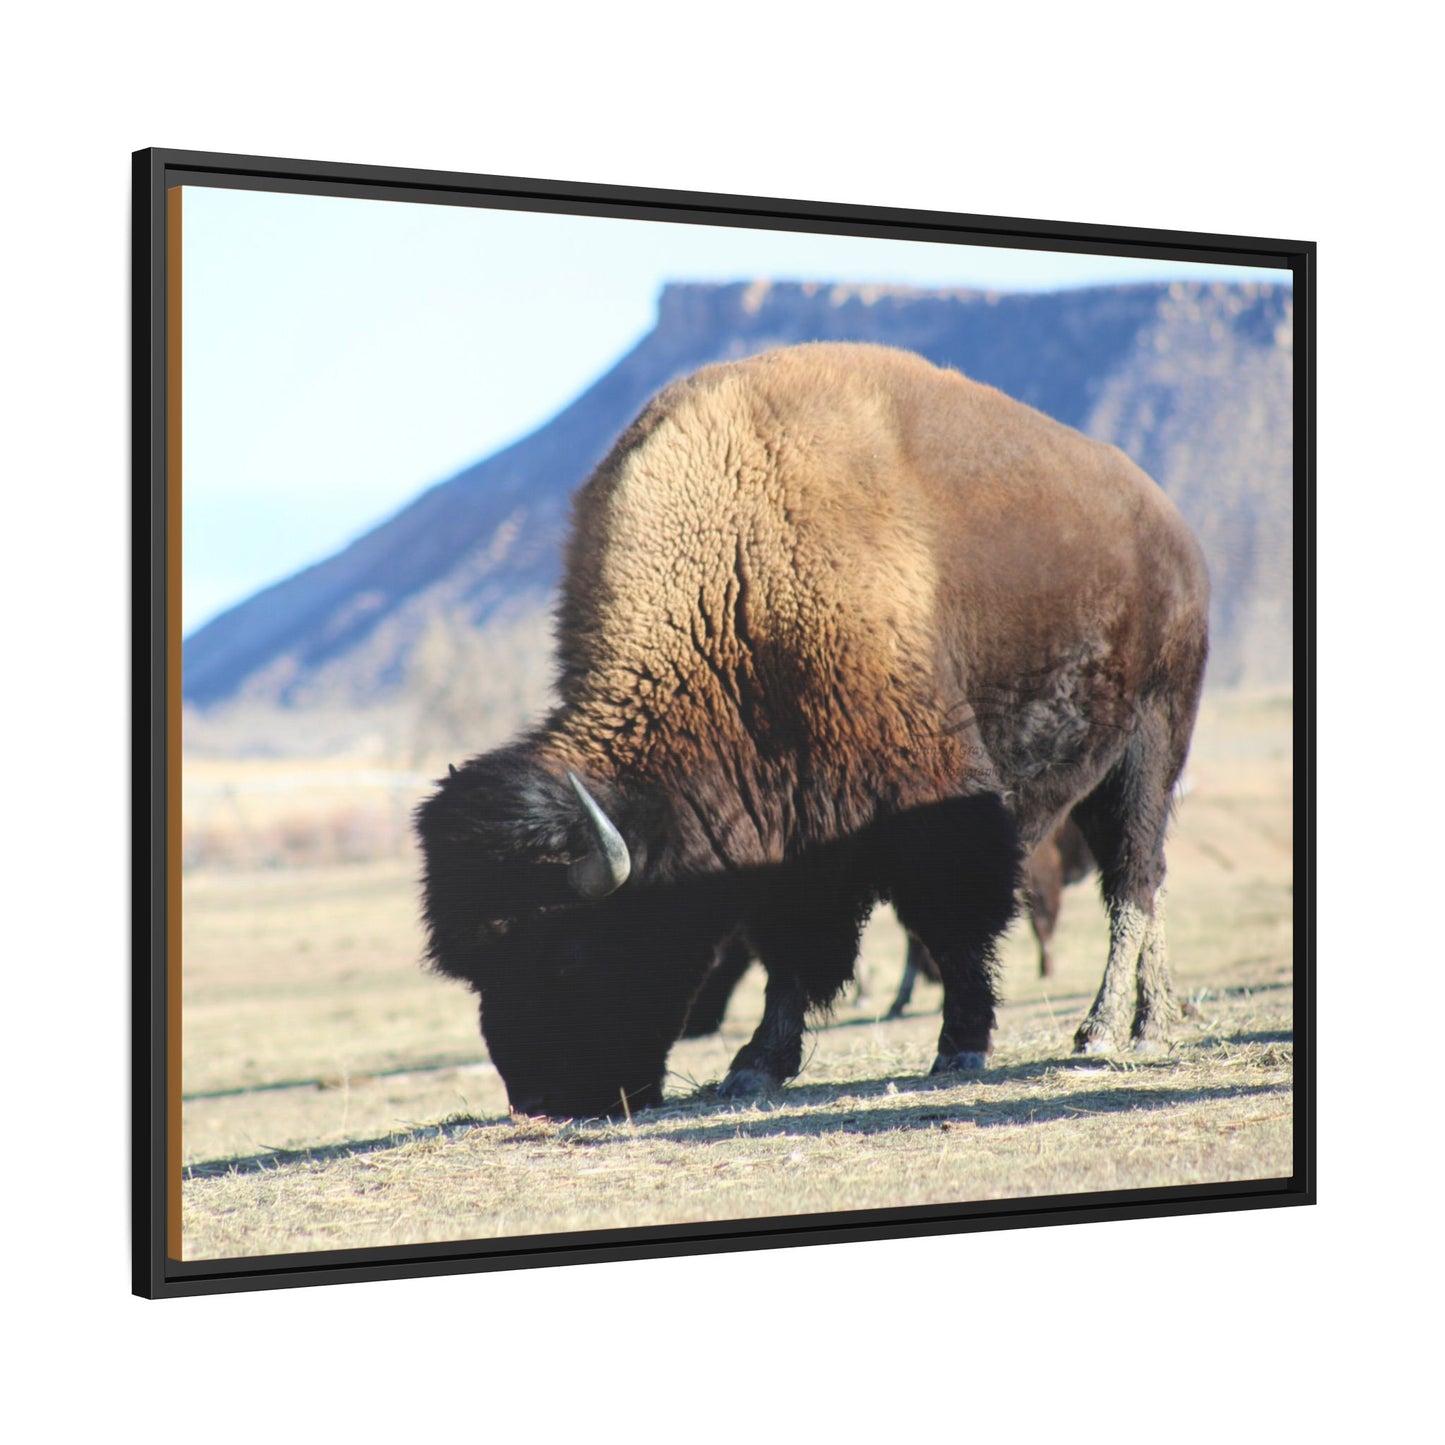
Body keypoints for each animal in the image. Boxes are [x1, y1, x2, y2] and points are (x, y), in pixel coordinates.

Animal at [417, 342, 1209, 1119]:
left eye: (567, 950)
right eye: (476, 968)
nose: (539, 1101)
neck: (735, 582)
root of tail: (1171, 528)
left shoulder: (929, 799)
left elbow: (950, 922)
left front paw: (960, 1045)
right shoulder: (788, 830)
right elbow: (792, 950)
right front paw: (756, 1065)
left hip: (1149, 746)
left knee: (1132, 881)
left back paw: (1108, 1029)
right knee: (1149, 881)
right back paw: (1154, 1019)